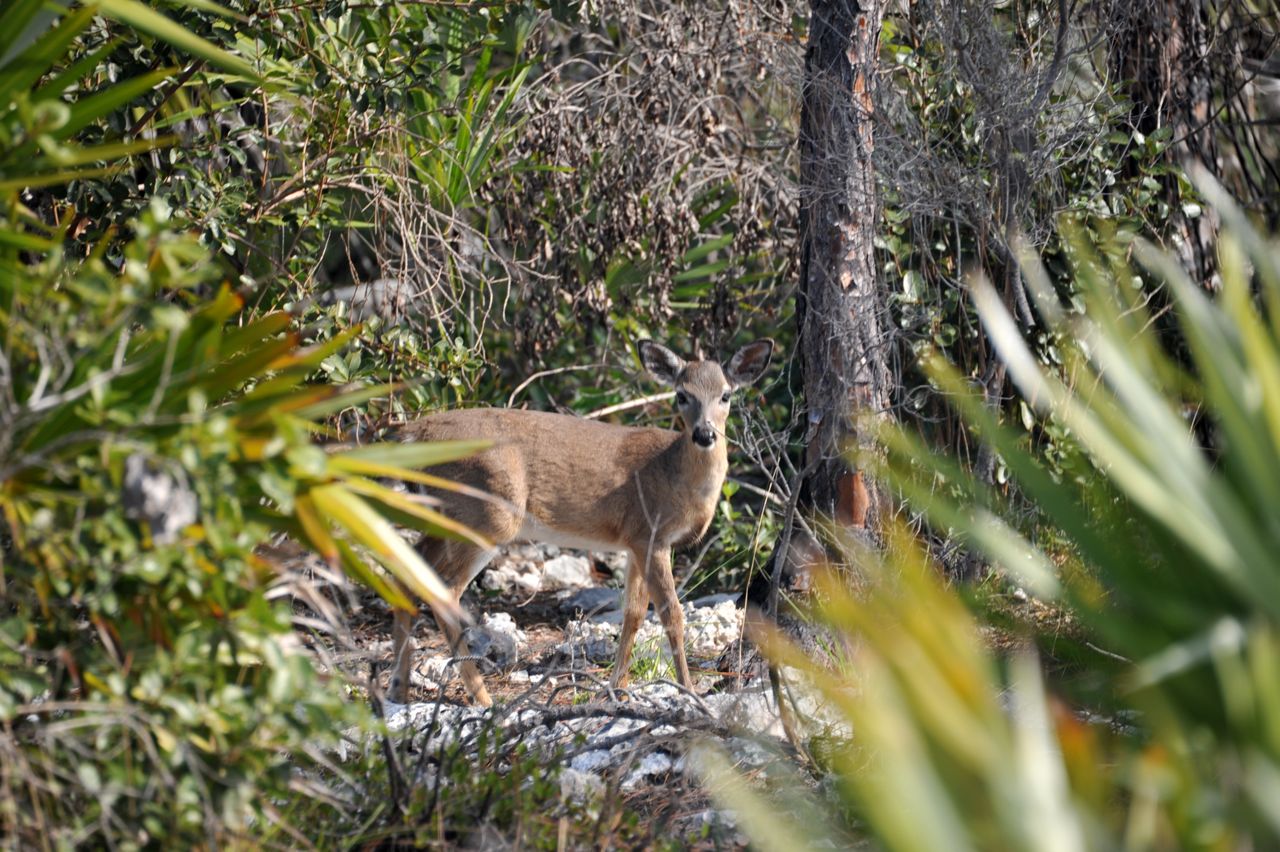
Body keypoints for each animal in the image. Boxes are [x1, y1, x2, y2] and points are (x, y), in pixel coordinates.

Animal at [390, 338, 774, 705]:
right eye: (682, 394)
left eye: (725, 394)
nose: (704, 434)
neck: (674, 473)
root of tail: (414, 433)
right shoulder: (653, 533)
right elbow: (671, 614)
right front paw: (688, 689)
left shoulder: (633, 540)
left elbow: (634, 613)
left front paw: (616, 688)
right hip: (486, 514)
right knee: (443, 590)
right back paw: (482, 698)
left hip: (445, 514)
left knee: (405, 573)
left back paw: (399, 690)